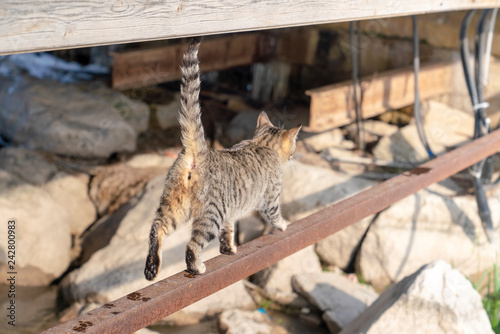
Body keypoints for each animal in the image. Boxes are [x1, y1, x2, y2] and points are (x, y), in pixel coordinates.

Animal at [145, 37, 300, 280]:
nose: (294, 154)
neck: (262, 144)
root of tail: (198, 150)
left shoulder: (230, 212)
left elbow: (228, 232)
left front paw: (229, 249)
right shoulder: (270, 199)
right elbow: (275, 216)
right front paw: (284, 225)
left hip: (174, 205)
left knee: (156, 228)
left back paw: (151, 268)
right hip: (210, 214)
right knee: (192, 245)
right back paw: (196, 267)